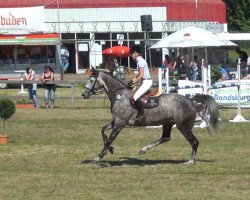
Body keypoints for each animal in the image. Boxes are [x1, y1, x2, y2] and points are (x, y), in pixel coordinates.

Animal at [82, 68, 219, 165]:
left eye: (91, 80)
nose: (83, 94)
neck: (119, 95)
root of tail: (191, 101)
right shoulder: (116, 121)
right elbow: (103, 131)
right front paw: (109, 150)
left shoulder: (120, 124)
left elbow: (110, 139)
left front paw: (98, 157)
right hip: (168, 123)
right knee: (165, 138)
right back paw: (144, 149)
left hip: (182, 126)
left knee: (194, 141)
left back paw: (190, 161)